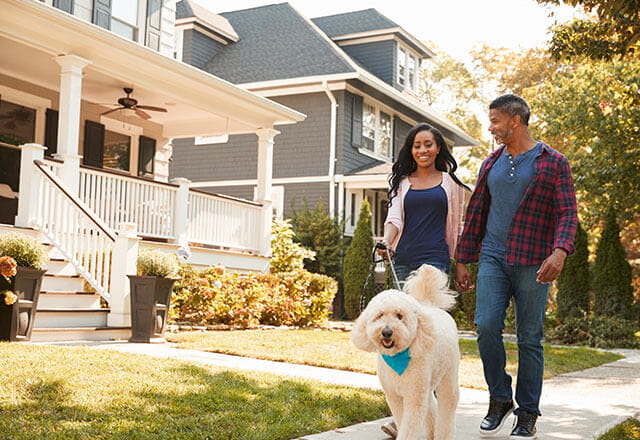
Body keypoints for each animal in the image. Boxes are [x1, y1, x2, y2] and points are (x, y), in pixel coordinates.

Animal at [350, 262, 460, 438]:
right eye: (380, 315)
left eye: (399, 316)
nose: (387, 332)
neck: (397, 357)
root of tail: (429, 306)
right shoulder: (394, 396)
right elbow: (402, 421)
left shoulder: (414, 397)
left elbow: (409, 428)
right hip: (427, 385)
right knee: (431, 406)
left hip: (448, 376)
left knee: (447, 406)